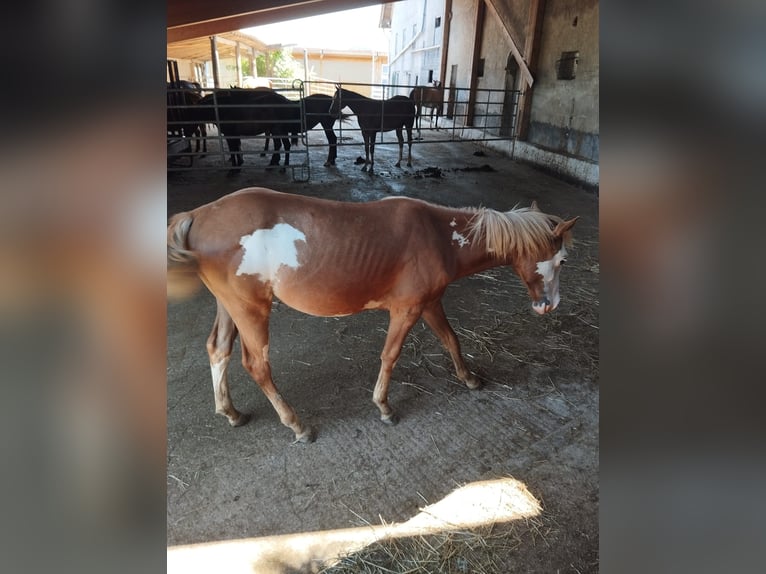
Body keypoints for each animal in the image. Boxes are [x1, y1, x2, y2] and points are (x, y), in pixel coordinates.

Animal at [166, 189, 576, 446]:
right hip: (251, 310)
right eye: (561, 260)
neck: (439, 236)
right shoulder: (407, 309)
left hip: (229, 307)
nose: (549, 306)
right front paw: (384, 407)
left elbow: (451, 339)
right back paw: (297, 425)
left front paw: (470, 378)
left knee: (218, 350)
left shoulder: (430, 303)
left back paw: (230, 412)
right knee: (257, 365)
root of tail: (197, 215)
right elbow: (390, 355)